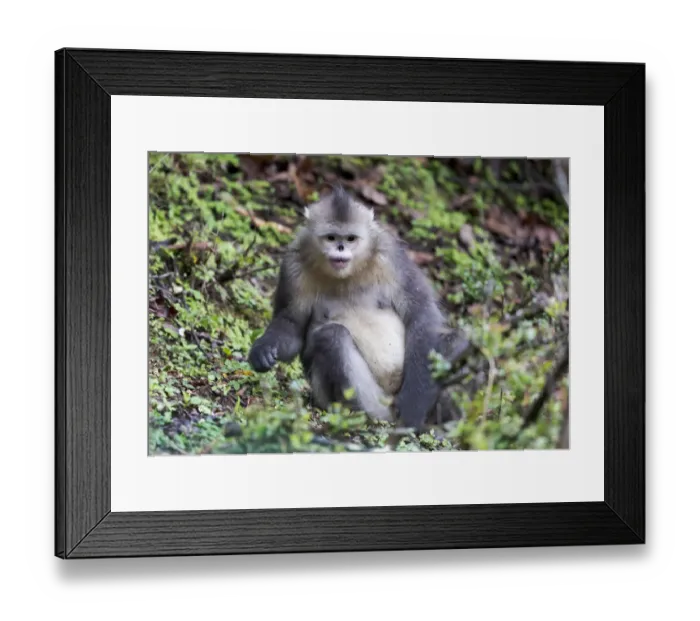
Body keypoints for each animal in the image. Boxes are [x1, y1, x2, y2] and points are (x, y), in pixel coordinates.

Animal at [248, 185, 466, 430]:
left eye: (351, 238)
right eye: (331, 238)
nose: (341, 248)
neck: (347, 275)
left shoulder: (390, 256)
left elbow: (422, 316)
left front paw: (414, 406)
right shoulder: (293, 265)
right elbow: (292, 326)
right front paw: (263, 351)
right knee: (332, 336)